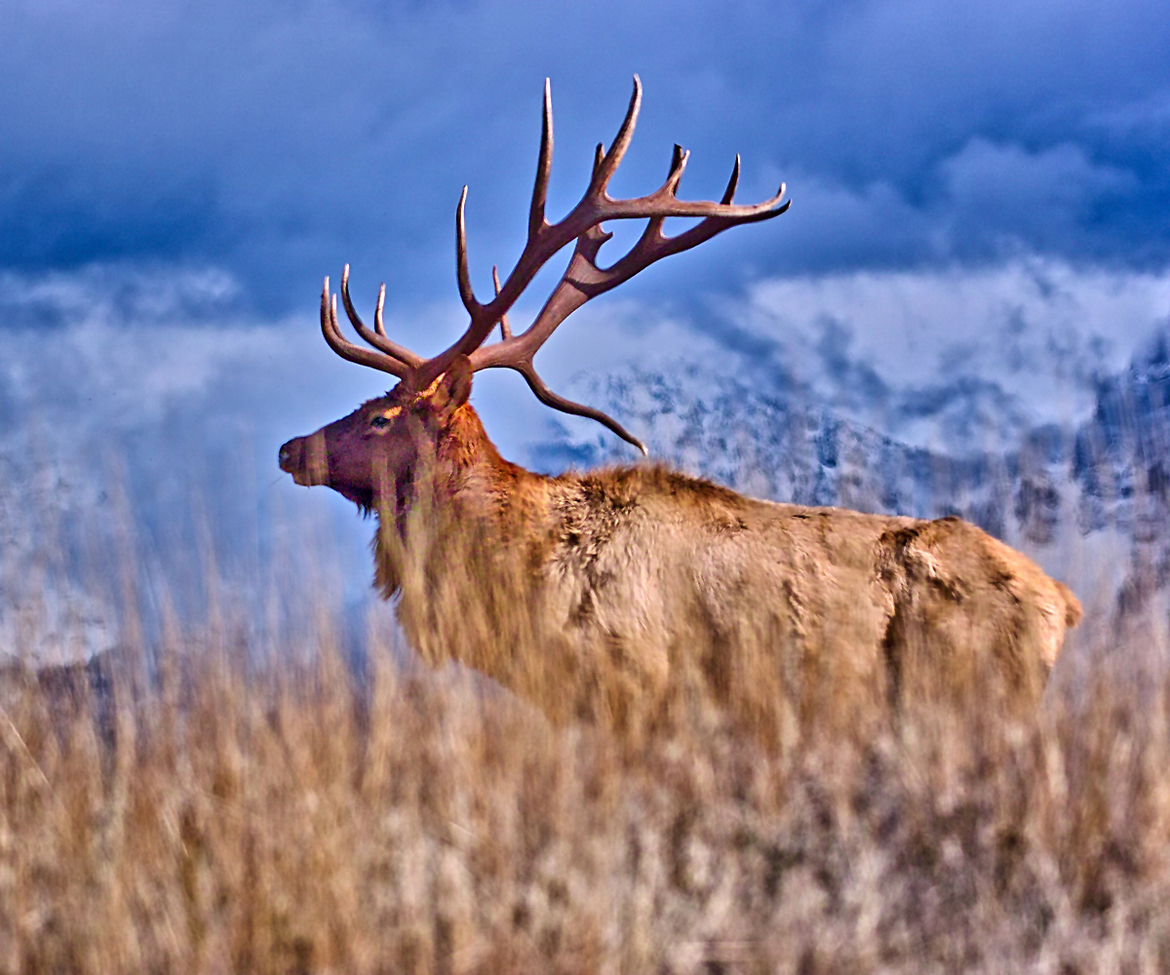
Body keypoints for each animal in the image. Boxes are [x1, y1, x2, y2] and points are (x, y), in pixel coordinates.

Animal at [279, 77, 1082, 739]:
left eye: (381, 418)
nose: (290, 448)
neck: (517, 564)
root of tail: (1063, 602)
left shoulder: (636, 685)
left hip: (975, 691)